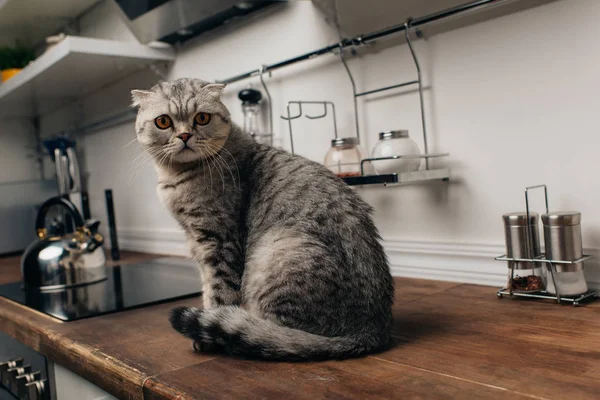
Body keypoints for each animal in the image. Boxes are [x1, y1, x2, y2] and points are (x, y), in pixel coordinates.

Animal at [131, 77, 394, 360]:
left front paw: (209, 330)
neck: (176, 177)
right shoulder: (197, 243)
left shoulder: (219, 241)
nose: (184, 136)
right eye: (163, 121)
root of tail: (371, 331)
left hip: (277, 253)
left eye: (201, 117)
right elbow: (207, 286)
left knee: (274, 336)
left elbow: (218, 291)